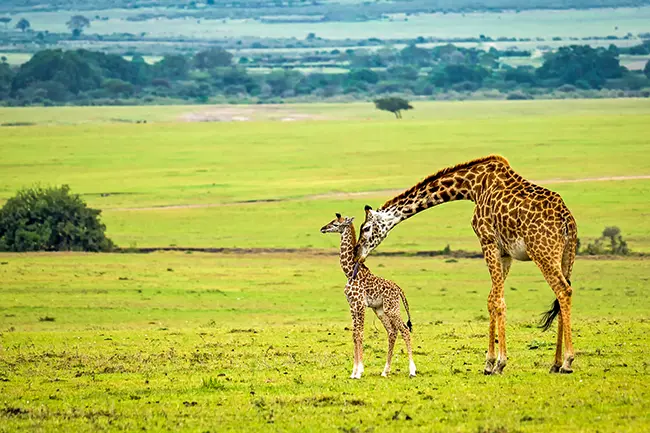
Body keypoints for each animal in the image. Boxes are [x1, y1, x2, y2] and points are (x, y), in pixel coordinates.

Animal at [318, 213, 416, 378]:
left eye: (336, 224)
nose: (323, 228)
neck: (349, 272)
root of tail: (399, 289)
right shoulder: (352, 305)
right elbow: (354, 334)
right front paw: (354, 372)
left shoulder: (360, 304)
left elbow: (360, 333)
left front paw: (359, 371)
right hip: (380, 310)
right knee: (392, 331)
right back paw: (385, 371)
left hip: (392, 308)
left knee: (404, 330)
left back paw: (412, 370)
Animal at [352, 155, 576, 374]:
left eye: (366, 228)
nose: (357, 254)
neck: (472, 186)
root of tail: (567, 220)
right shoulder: (505, 253)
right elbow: (492, 299)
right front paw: (489, 363)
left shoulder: (488, 241)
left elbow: (498, 300)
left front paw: (499, 363)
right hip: (566, 255)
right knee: (563, 292)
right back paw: (555, 364)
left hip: (542, 252)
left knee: (563, 290)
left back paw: (567, 362)